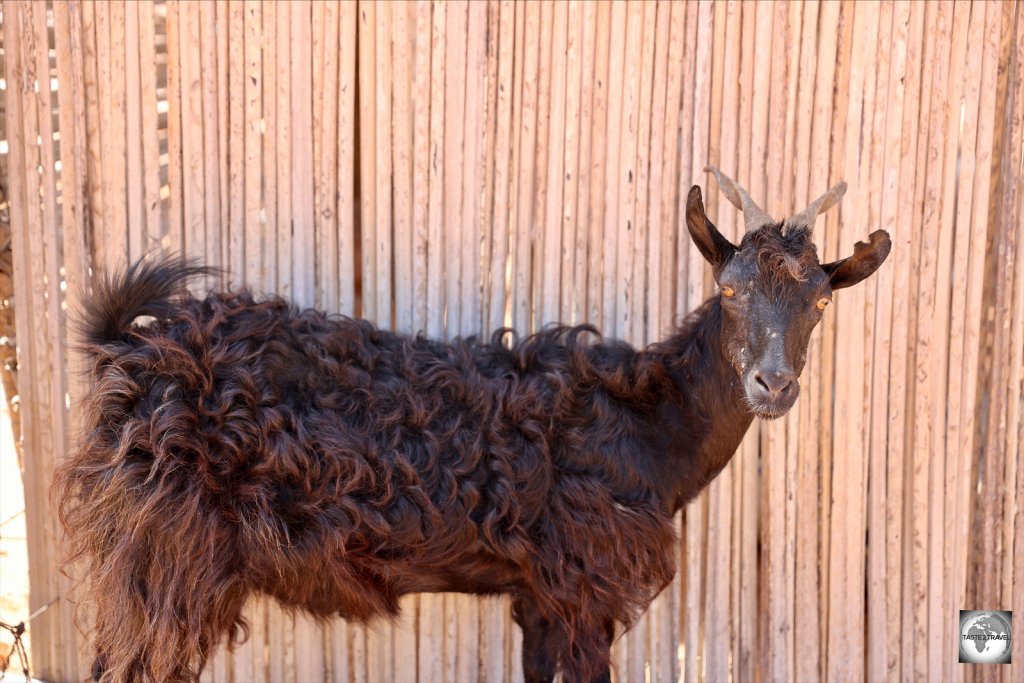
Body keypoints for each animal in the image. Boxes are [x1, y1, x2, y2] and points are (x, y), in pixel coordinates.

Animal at [56, 166, 888, 683]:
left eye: (820, 300)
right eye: (731, 289)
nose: (772, 384)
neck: (650, 423)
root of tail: (129, 350)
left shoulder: (540, 597)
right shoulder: (585, 586)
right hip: (167, 557)